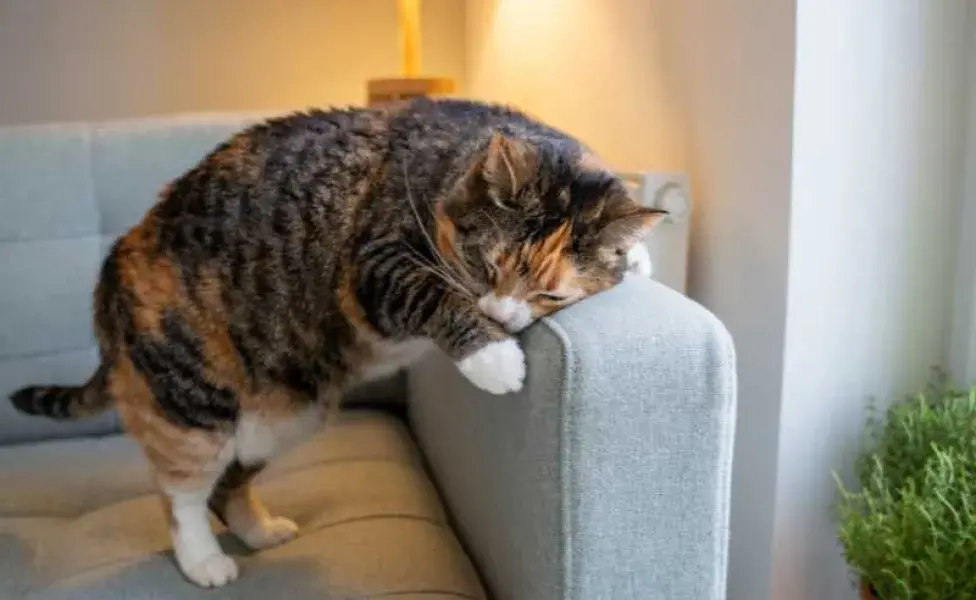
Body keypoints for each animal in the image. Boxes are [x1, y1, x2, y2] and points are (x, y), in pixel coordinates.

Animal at [9, 97, 664, 584]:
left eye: (550, 294)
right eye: (487, 265)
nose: (499, 315)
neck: (445, 172)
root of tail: (115, 262)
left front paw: (638, 259)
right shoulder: (374, 265)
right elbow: (431, 292)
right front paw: (494, 358)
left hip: (283, 416)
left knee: (228, 485)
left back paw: (260, 531)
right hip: (194, 398)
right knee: (181, 493)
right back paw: (204, 562)